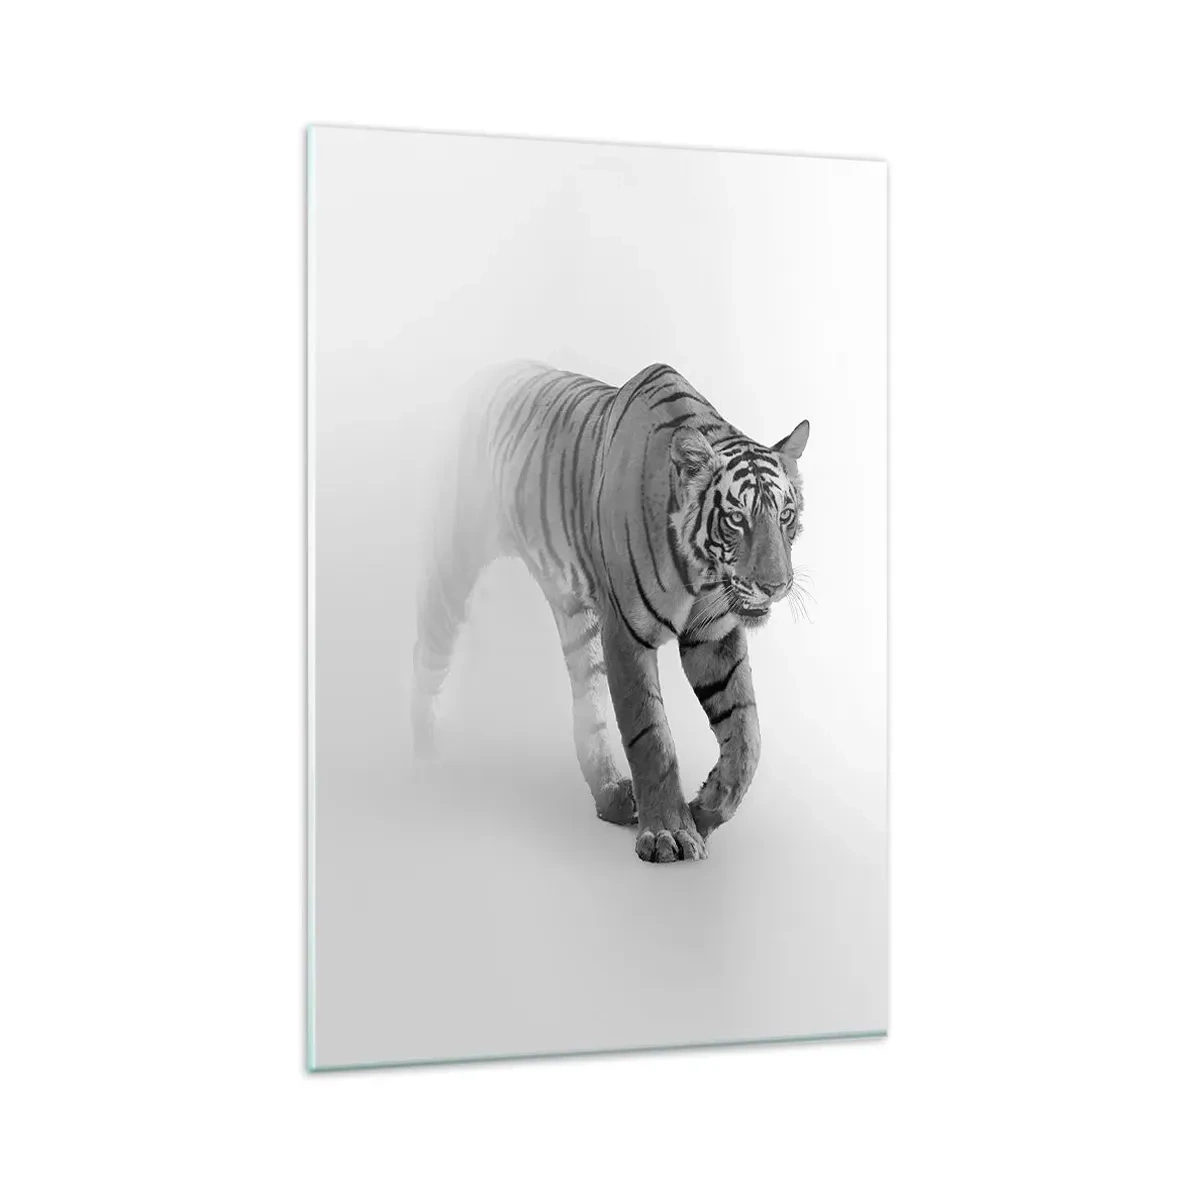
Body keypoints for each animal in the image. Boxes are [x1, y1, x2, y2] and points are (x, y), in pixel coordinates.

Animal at [411, 361, 810, 863]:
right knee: (428, 646)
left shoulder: (713, 634)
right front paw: (669, 833)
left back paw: (612, 797)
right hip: (458, 553)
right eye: (737, 519)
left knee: (588, 705)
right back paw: (421, 749)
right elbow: (651, 735)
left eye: (785, 516)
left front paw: (706, 809)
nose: (775, 587)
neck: (700, 572)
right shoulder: (626, 633)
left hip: (576, 616)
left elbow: (747, 733)